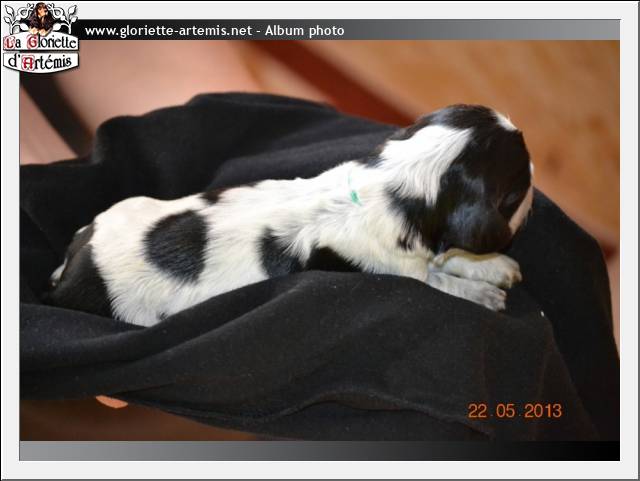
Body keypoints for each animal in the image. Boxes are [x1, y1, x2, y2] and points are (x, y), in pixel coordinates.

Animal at [48, 104, 533, 327]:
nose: (535, 176)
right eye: (521, 182)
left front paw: (495, 266)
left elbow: (452, 257)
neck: (395, 184)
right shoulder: (396, 270)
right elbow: (439, 282)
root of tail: (73, 263)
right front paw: (485, 294)